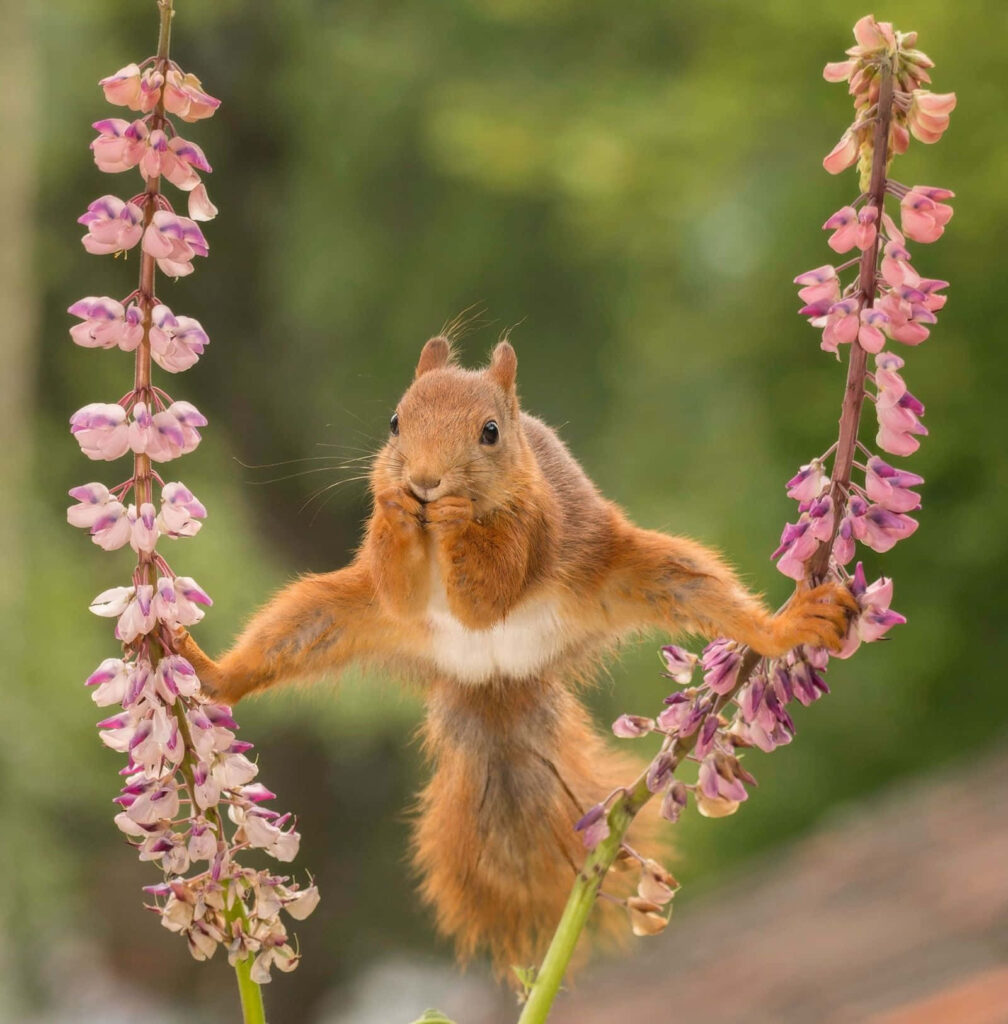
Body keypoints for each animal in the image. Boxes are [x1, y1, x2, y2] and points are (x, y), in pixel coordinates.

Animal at [175, 335, 856, 976]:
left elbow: (490, 591)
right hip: (330, 615)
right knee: (288, 635)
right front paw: (397, 508)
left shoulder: (535, 525)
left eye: (491, 432)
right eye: (394, 422)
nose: (425, 482)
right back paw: (210, 674)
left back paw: (786, 626)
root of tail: (495, 676)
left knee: (700, 589)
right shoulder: (393, 590)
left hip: (637, 573)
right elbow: (397, 584)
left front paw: (454, 516)